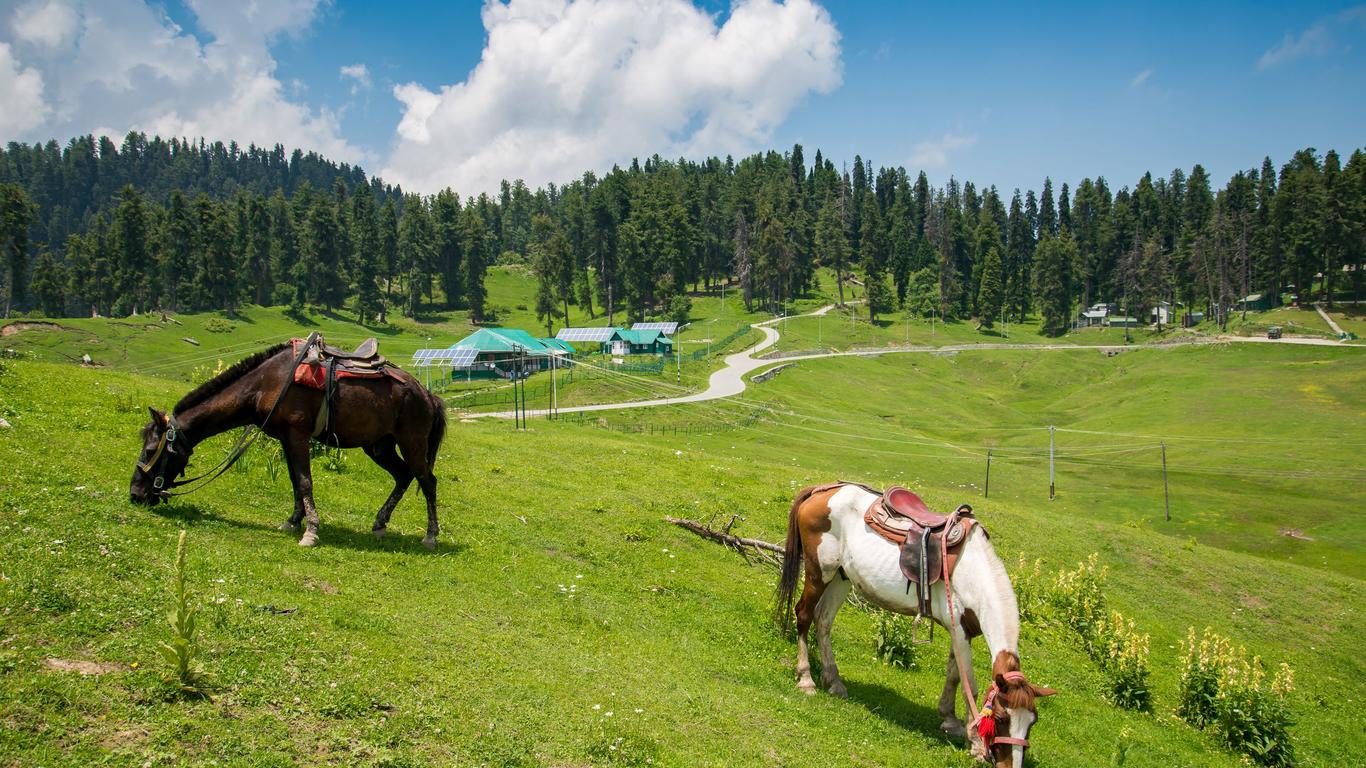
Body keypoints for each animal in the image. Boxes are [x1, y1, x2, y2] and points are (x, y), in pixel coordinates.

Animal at [129, 337, 448, 546]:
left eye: (150, 450)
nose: (135, 494)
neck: (265, 383)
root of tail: (427, 394)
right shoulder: (284, 438)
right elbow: (295, 480)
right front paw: (293, 521)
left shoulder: (297, 435)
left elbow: (305, 482)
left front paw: (311, 531)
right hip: (379, 446)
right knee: (403, 475)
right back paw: (380, 523)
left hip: (412, 442)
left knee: (427, 480)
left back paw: (430, 536)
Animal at [781, 481, 1054, 759]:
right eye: (1001, 718)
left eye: (1031, 722)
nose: (1009, 762)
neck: (973, 573)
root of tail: (823, 490)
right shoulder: (959, 629)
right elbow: (969, 684)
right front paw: (976, 743)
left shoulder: (960, 631)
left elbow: (954, 674)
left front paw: (950, 720)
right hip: (819, 573)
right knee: (804, 615)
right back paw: (806, 679)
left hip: (840, 577)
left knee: (823, 620)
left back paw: (834, 682)